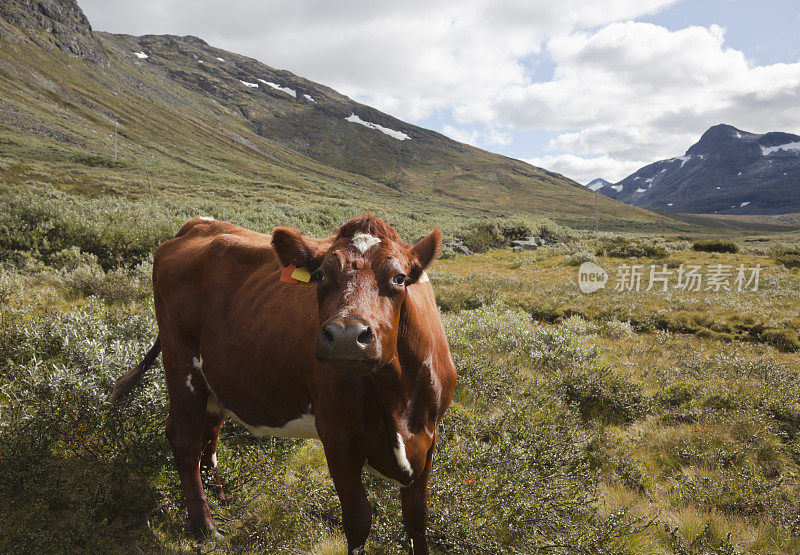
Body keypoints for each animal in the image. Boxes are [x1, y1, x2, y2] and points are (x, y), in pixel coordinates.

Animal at [108, 215, 456, 552]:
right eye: (320, 276)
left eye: (399, 278)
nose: (345, 336)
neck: (397, 399)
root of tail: (198, 225)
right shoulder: (337, 437)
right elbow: (359, 522)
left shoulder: (429, 436)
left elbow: (417, 521)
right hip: (181, 362)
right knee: (185, 441)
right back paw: (205, 527)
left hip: (215, 380)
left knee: (210, 436)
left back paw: (222, 503)